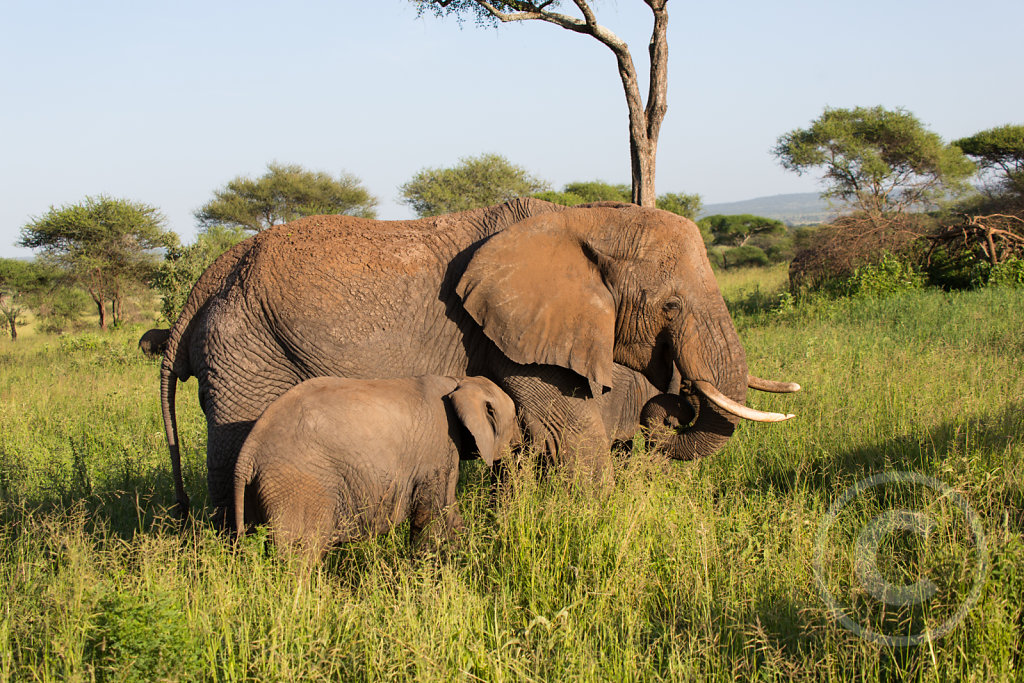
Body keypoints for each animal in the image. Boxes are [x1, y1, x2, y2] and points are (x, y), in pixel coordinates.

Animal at [161, 197, 798, 524]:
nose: (670, 405)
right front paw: (600, 531)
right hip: (246, 349)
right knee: (232, 448)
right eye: (670, 305)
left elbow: (520, 441)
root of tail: (210, 276)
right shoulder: (526, 333)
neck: (578, 218)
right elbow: (570, 434)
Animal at [234, 374, 516, 561]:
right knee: (301, 554)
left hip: (262, 492)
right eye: (514, 421)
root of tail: (248, 452)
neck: (459, 381)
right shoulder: (440, 449)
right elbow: (434, 515)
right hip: (298, 486)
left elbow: (449, 515)